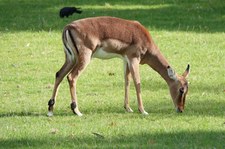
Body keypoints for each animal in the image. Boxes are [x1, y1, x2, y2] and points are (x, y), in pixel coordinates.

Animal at [47, 16, 190, 116]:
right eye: (181, 89)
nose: (181, 109)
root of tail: (68, 27)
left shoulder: (125, 60)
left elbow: (127, 81)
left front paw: (128, 108)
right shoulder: (134, 59)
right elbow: (137, 83)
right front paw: (142, 110)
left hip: (70, 59)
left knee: (59, 74)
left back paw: (50, 110)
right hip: (84, 58)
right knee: (71, 77)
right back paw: (77, 111)